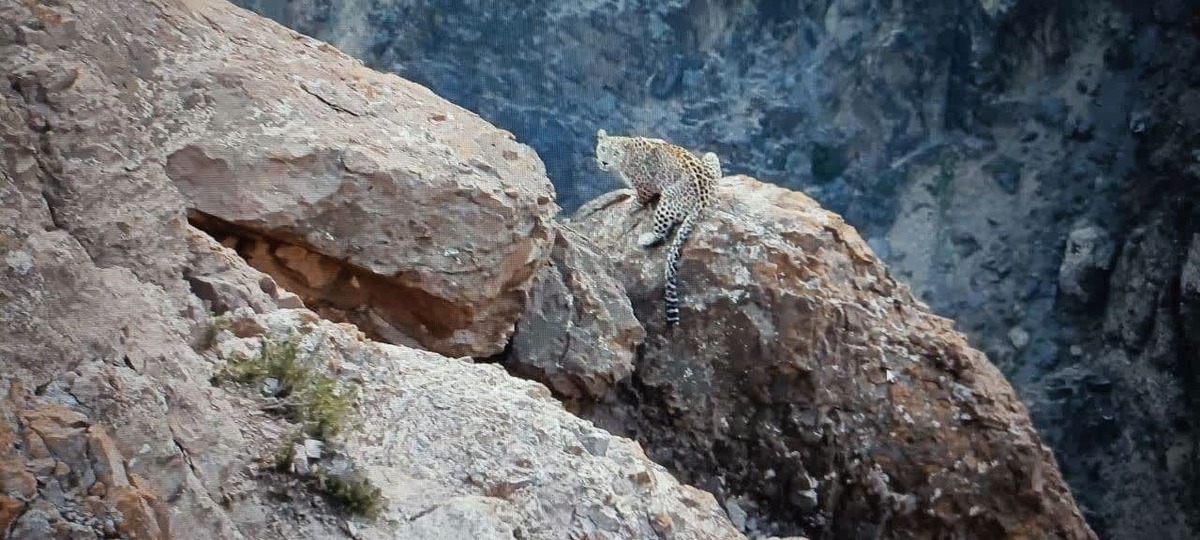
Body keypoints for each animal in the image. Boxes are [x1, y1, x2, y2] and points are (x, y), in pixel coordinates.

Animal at [592, 128, 715, 326]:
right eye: (603, 148)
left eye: (615, 153)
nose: (604, 162)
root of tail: (704, 201)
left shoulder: (645, 187)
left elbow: (640, 198)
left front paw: (630, 204)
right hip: (711, 157)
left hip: (667, 198)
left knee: (662, 230)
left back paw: (646, 238)